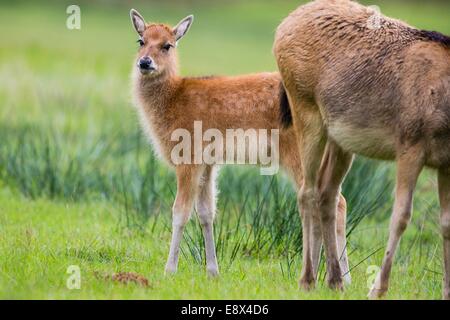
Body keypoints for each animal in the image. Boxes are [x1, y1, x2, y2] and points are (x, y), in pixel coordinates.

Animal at [128, 9, 350, 280]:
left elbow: (180, 212)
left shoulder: (188, 157)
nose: (145, 62)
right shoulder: (208, 163)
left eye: (167, 45)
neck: (173, 100)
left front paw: (169, 270)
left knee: (334, 202)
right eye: (141, 40)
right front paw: (213, 271)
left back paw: (338, 277)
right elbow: (206, 212)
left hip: (300, 156)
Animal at [272, 0, 450, 298]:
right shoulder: (410, 145)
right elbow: (401, 216)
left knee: (328, 193)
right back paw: (307, 279)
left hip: (341, 139)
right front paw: (377, 289)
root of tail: (284, 24)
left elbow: (446, 222)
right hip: (305, 109)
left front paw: (447, 291)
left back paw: (335, 280)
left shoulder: (446, 162)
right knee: (307, 191)